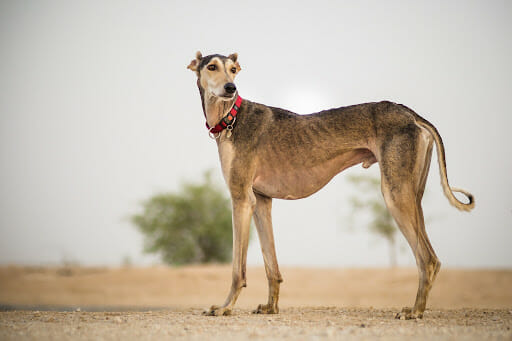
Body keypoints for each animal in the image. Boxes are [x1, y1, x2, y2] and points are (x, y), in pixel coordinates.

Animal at [186, 51, 474, 318]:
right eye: (212, 67)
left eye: (233, 70)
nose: (230, 88)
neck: (231, 117)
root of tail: (411, 114)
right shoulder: (261, 201)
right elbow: (272, 267)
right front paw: (271, 307)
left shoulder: (241, 199)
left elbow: (237, 269)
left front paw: (225, 307)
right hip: (412, 194)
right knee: (432, 257)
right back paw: (417, 308)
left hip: (395, 194)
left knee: (427, 259)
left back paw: (414, 312)